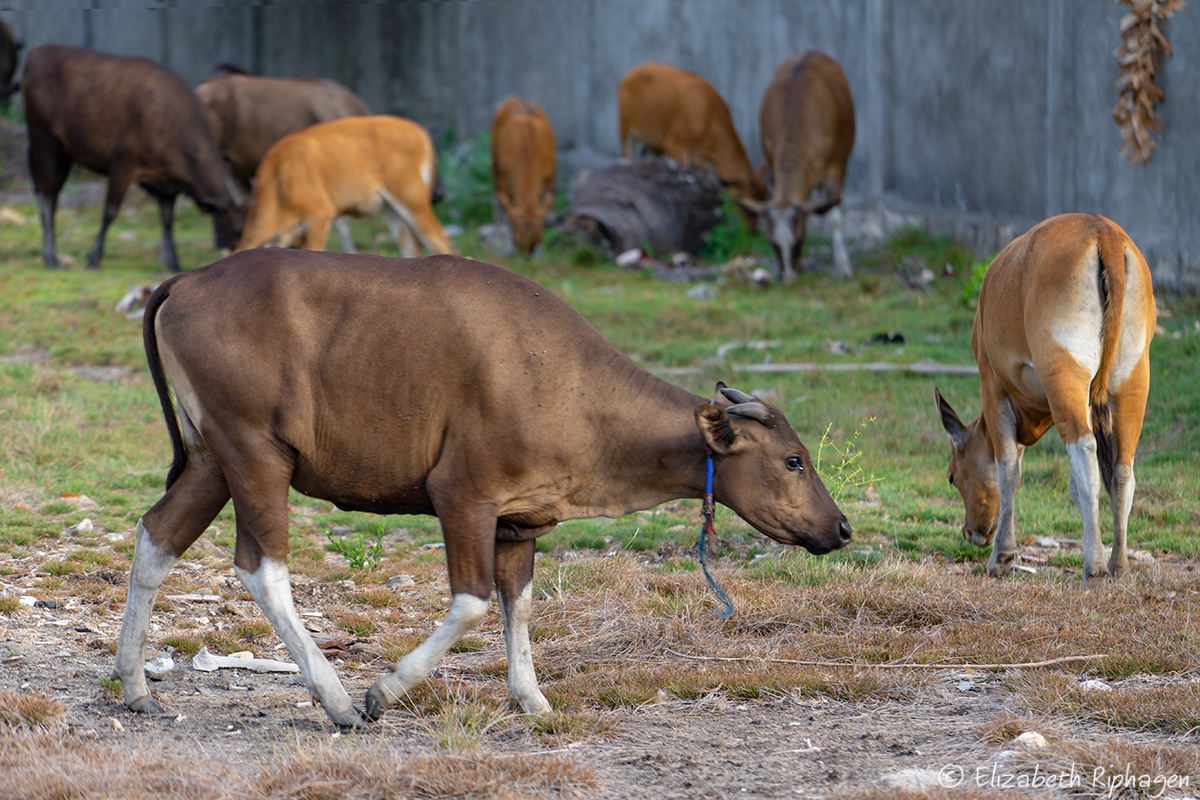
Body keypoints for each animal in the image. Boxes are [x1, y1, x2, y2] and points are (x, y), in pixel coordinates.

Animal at [22, 46, 243, 272]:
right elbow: (110, 212)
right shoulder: (123, 165)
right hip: (45, 142)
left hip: (62, 152)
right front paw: (94, 258)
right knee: (48, 195)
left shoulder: (168, 185)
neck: (170, 121)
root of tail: (37, 52)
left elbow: (167, 221)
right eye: (236, 228)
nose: (235, 253)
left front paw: (173, 263)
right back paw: (52, 258)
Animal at [119, 251, 854, 734]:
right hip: (256, 451)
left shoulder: (519, 521)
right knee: (262, 567)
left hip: (211, 458)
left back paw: (134, 685)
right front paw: (384, 690)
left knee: (157, 536)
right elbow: (473, 602)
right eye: (794, 460)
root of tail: (189, 278)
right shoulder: (463, 495)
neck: (571, 388)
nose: (842, 527)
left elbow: (518, 605)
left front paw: (533, 700)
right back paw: (337, 700)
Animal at [489, 97, 554, 255]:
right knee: (496, 202)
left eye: (537, 241)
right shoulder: (502, 175)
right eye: (517, 241)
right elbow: (503, 206)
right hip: (494, 164)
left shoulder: (550, 176)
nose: (525, 258)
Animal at [619, 64, 768, 205]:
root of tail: (631, 73)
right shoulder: (674, 146)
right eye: (748, 208)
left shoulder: (700, 163)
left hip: (652, 147)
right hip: (625, 129)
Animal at [936, 212, 1152, 587]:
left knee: (1086, 454)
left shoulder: (992, 385)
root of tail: (1105, 232)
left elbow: (1008, 469)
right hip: (1132, 382)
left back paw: (1094, 569)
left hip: (1064, 373)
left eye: (952, 476)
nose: (973, 533)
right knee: (1123, 471)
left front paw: (1003, 558)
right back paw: (1118, 565)